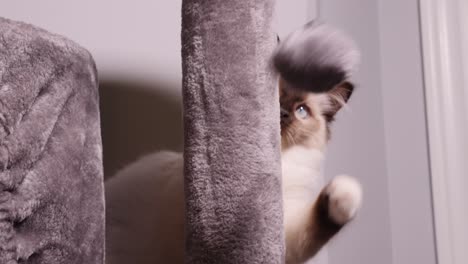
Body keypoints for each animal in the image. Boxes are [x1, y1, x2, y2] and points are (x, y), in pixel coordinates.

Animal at [105, 21, 362, 262]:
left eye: (301, 111)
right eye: (275, 97)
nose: (282, 114)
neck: (280, 161)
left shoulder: (284, 229)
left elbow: (313, 226)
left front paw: (346, 195)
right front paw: (347, 192)